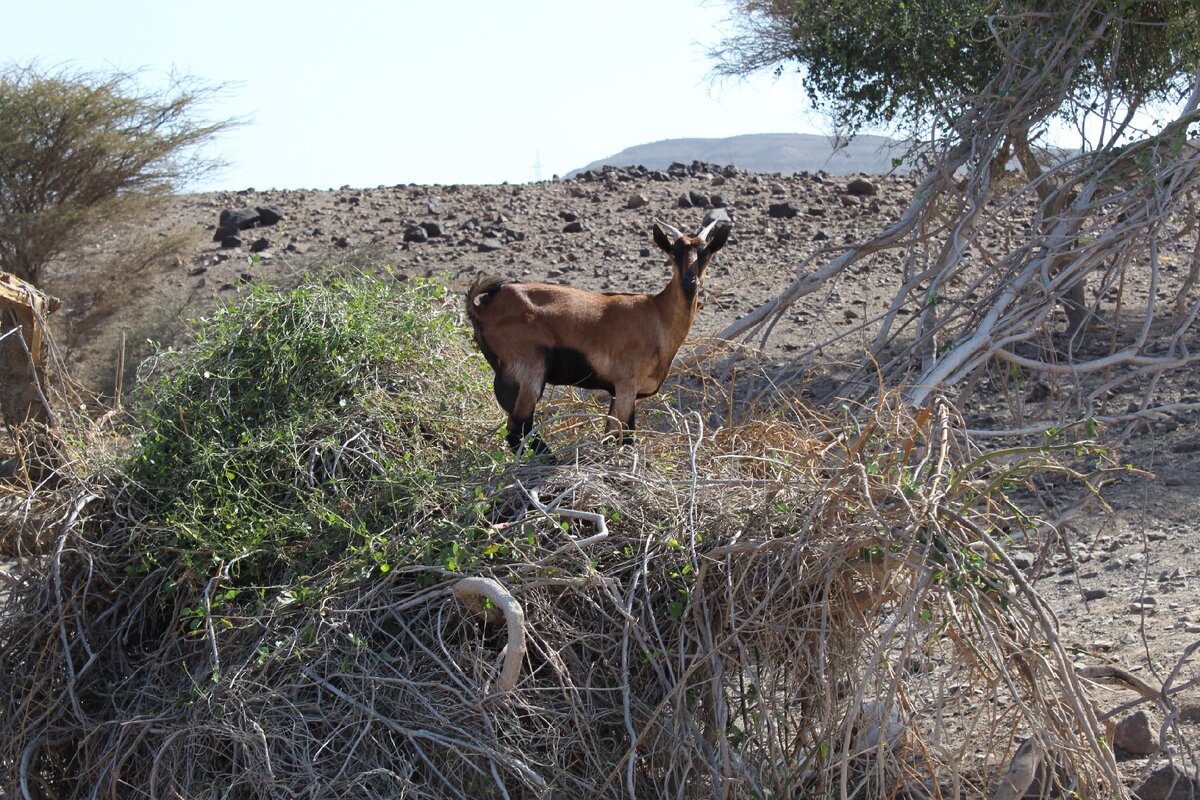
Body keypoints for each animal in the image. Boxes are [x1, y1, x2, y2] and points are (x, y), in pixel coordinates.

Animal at [465, 219, 729, 453]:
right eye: (673, 253)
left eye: (706, 253)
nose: (690, 281)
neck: (657, 315)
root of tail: (484, 305)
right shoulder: (626, 385)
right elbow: (625, 438)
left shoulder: (618, 392)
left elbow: (611, 436)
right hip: (531, 369)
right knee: (518, 427)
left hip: (508, 377)